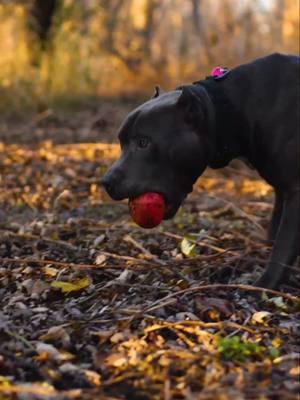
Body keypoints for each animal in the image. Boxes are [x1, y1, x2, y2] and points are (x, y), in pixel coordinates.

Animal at [102, 54, 298, 290]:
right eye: (121, 142)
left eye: (143, 142)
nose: (106, 181)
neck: (228, 109)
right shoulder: (281, 190)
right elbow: (273, 235)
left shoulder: (295, 192)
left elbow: (282, 246)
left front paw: (264, 284)